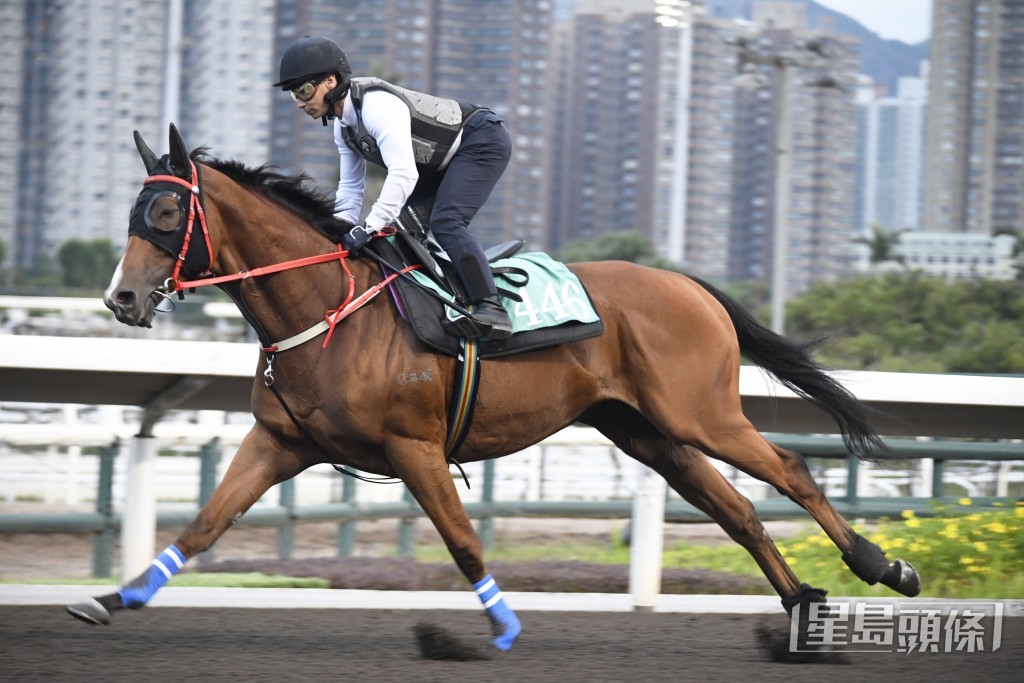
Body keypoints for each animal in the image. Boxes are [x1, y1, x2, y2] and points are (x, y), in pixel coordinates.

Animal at [68, 124, 920, 654]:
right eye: (134, 207)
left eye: (167, 208)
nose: (123, 298)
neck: (326, 310)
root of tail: (691, 285)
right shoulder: (280, 441)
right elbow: (202, 525)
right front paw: (110, 598)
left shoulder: (412, 445)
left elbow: (462, 538)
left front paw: (501, 629)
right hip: (649, 431)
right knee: (738, 509)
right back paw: (800, 605)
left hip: (701, 412)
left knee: (791, 470)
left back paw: (884, 568)